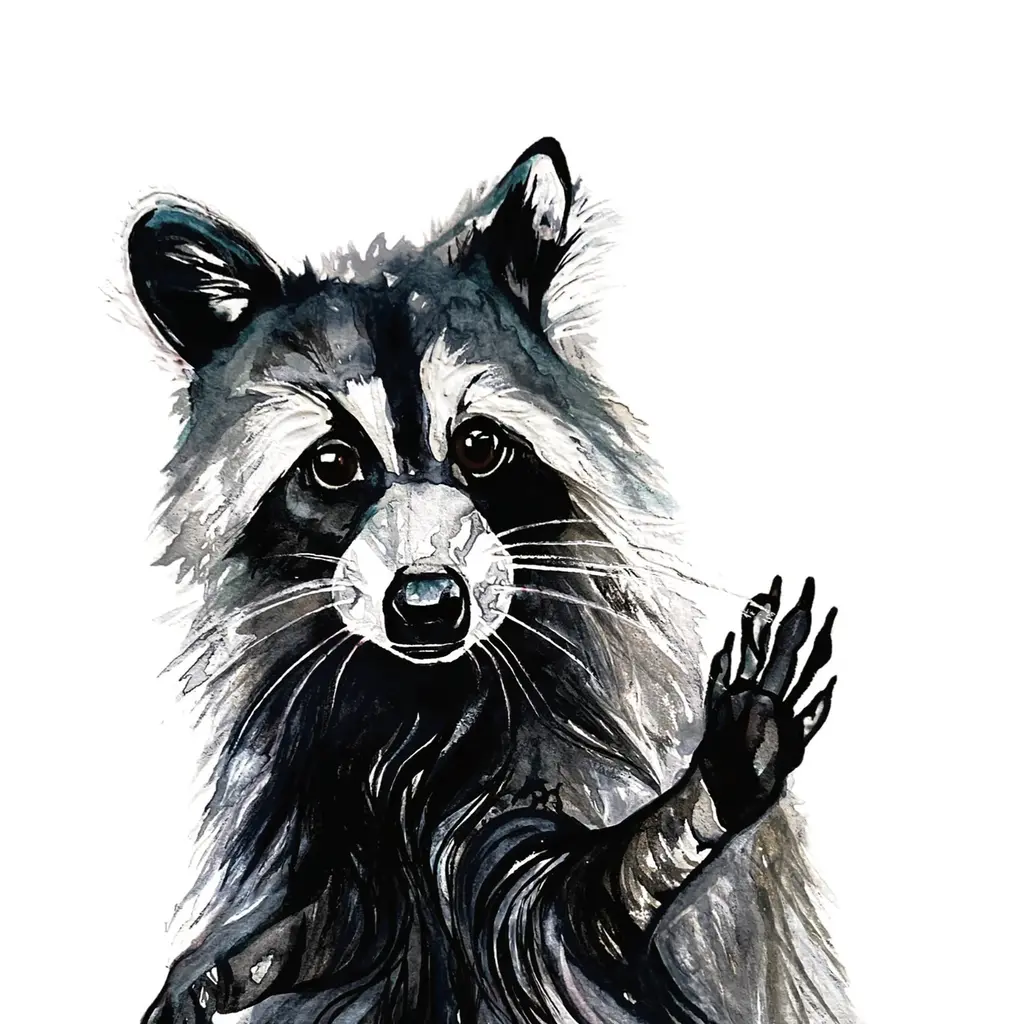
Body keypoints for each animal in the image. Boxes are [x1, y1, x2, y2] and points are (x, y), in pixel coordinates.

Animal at [128, 139, 852, 1024]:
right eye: (332, 465)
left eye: (479, 445)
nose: (428, 605)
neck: (423, 699)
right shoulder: (338, 793)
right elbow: (337, 920)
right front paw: (222, 964)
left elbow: (568, 908)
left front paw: (712, 788)